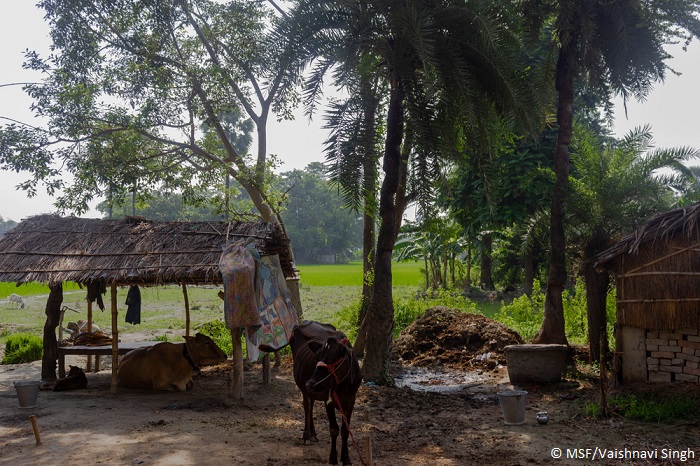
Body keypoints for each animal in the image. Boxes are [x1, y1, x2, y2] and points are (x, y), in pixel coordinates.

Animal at [290, 320, 364, 466]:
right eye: (316, 357)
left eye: (332, 360)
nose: (310, 383)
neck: (343, 385)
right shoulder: (328, 399)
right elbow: (334, 429)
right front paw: (333, 458)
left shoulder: (351, 399)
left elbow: (345, 430)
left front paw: (346, 458)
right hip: (303, 389)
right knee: (307, 407)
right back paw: (306, 435)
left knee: (311, 405)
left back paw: (313, 434)